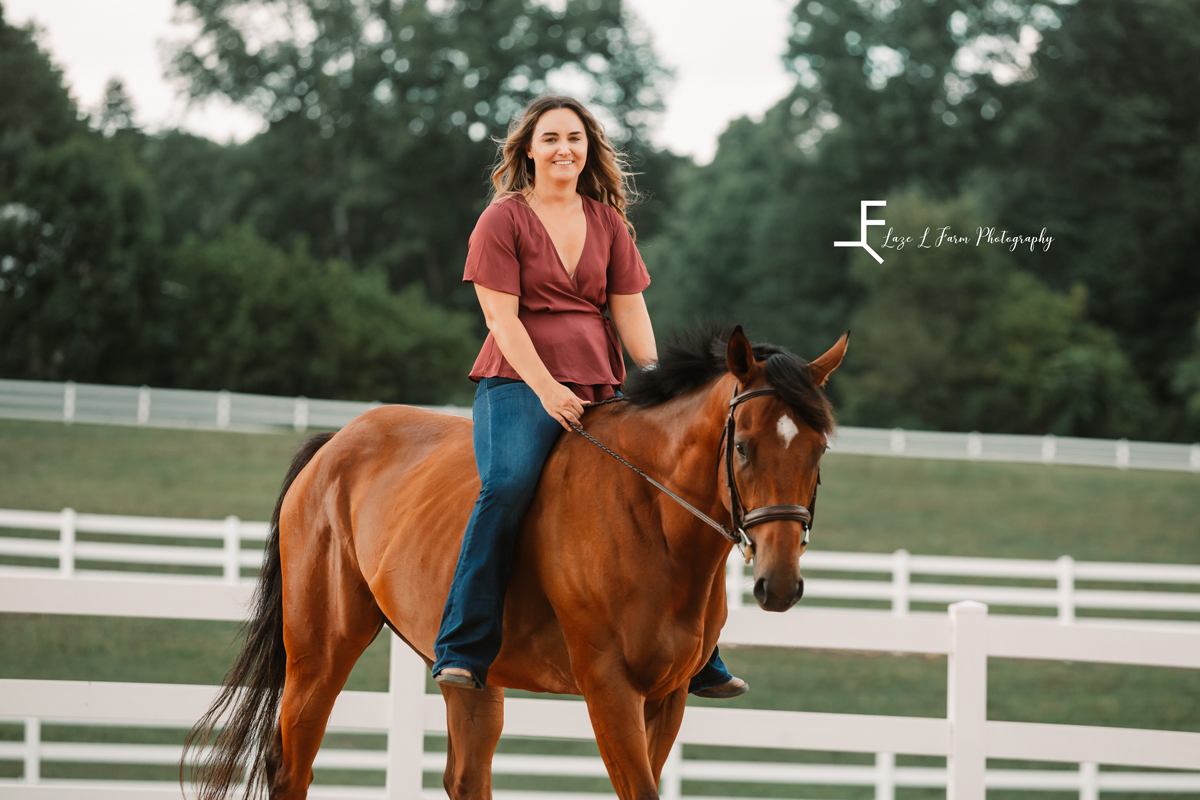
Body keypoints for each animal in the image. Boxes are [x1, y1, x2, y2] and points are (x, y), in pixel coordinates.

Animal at [184, 326, 844, 800]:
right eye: (743, 447)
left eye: (818, 450)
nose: (780, 585)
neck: (651, 515)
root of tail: (336, 443)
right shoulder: (609, 687)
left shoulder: (669, 693)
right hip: (321, 652)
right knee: (290, 767)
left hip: (468, 675)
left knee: (465, 779)